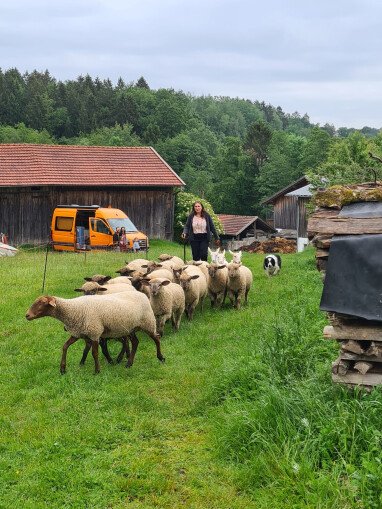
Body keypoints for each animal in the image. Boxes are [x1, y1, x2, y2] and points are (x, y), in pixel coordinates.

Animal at [26, 290, 163, 374]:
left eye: (42, 303)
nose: (27, 315)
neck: (72, 310)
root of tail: (142, 294)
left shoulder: (95, 333)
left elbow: (95, 353)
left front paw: (97, 370)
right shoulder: (77, 332)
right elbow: (65, 347)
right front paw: (63, 369)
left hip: (148, 323)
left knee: (156, 338)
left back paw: (161, 358)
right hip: (130, 328)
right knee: (135, 342)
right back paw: (129, 363)